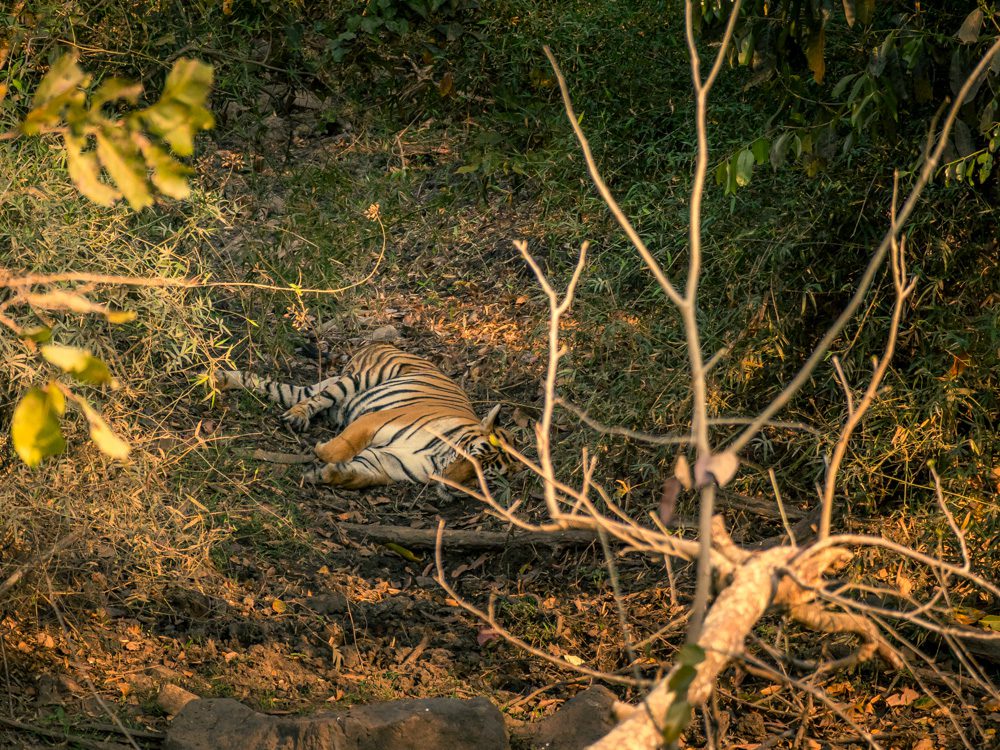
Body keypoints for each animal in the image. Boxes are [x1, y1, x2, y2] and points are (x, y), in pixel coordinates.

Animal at [212, 343, 516, 491]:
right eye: (472, 457)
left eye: (484, 479)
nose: (452, 486)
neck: (433, 459)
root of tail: (385, 341)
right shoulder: (375, 421)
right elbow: (341, 447)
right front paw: (321, 452)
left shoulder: (388, 463)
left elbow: (360, 475)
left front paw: (328, 475)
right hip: (357, 379)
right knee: (314, 400)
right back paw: (295, 418)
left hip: (319, 388)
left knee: (280, 389)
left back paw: (222, 379)